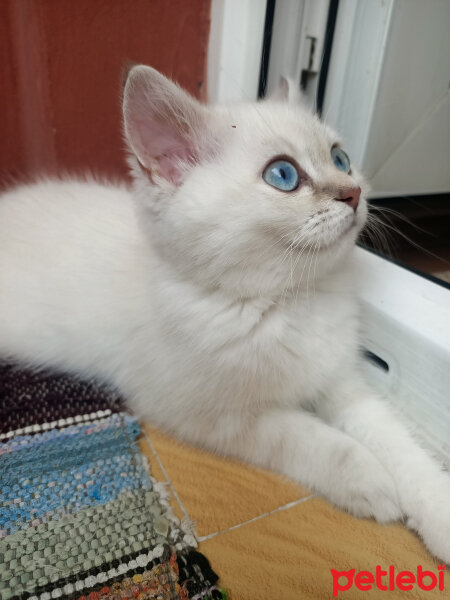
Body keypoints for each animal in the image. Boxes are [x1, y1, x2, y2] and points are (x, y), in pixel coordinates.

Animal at [0, 65, 448, 564]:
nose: (353, 192)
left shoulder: (342, 381)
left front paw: (438, 511)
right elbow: (308, 436)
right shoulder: (206, 414)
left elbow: (399, 444)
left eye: (341, 158)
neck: (287, 301)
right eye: (283, 174)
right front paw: (368, 478)